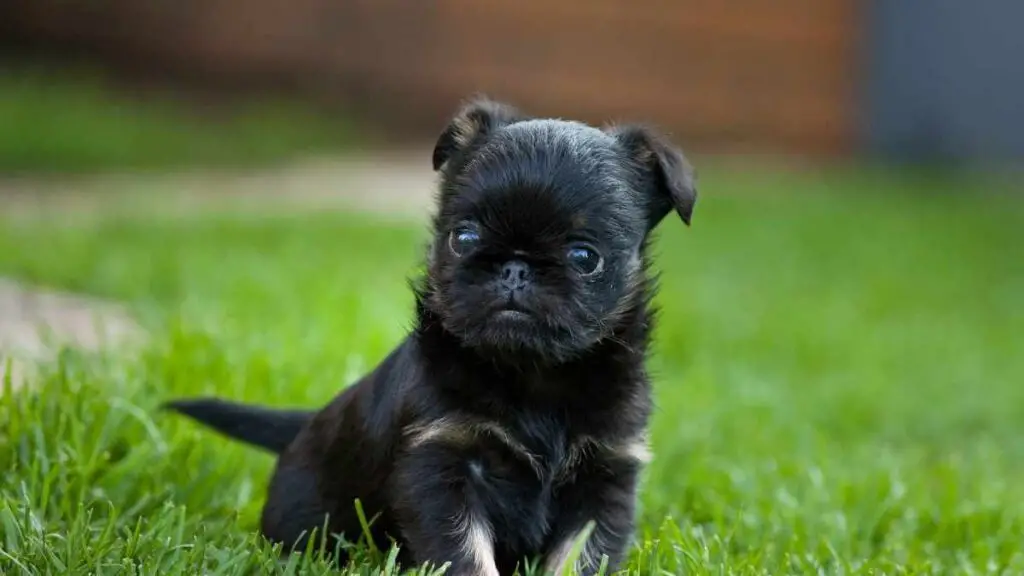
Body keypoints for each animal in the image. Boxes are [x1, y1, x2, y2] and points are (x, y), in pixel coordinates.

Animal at [165, 98, 696, 573]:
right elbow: (466, 556)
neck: (533, 375)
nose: (515, 267)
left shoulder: (605, 477)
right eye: (464, 238)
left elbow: (580, 558)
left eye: (585, 257)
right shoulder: (441, 468)